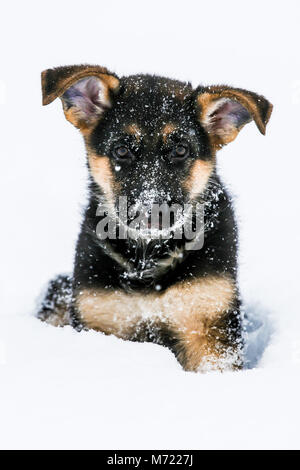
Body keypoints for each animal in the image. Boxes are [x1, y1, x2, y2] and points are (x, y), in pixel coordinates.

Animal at [38, 65, 272, 370]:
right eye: (121, 150)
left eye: (180, 150)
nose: (152, 213)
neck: (148, 260)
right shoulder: (101, 317)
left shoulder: (209, 330)